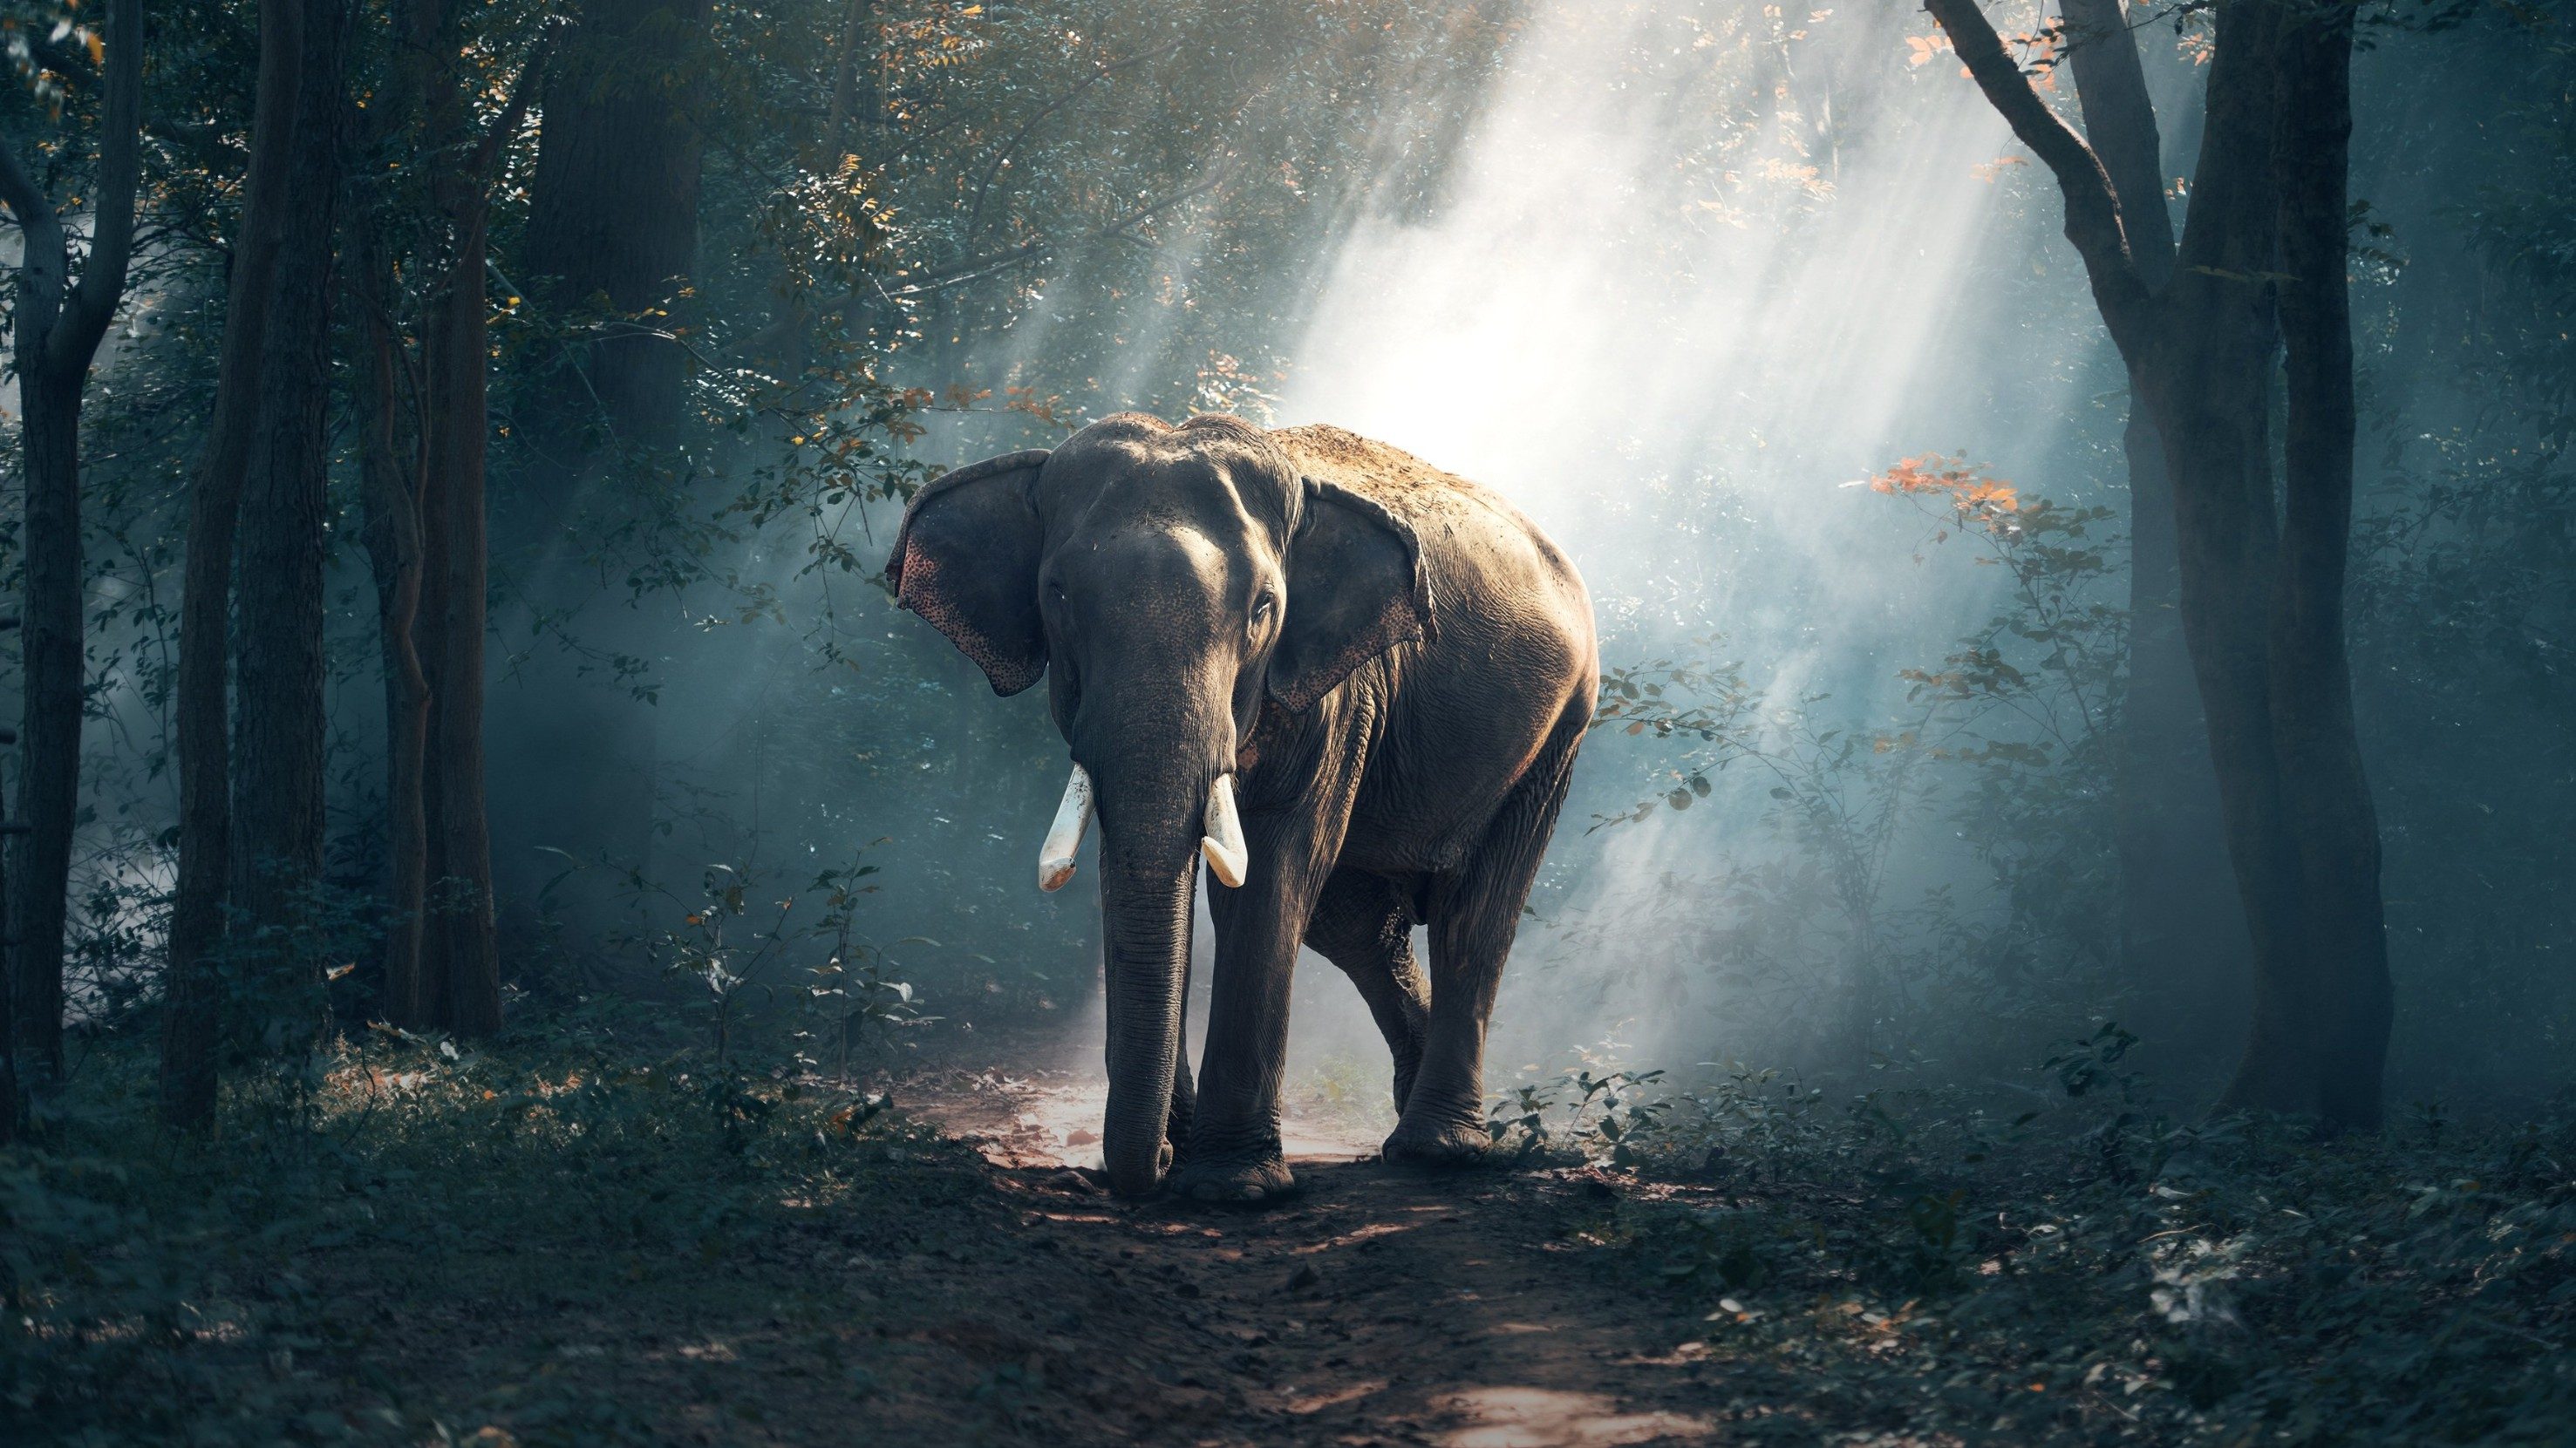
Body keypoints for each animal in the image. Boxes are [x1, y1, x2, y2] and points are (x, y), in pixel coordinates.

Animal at [887, 412, 1596, 1201]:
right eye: (1058, 595)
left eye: (1263, 608)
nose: (1156, 1162)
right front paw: (1186, 1149)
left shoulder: (1338, 693)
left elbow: (1272, 874)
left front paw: (1233, 1187)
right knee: (1358, 926)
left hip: (1559, 732)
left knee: (1474, 916)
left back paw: (1437, 1150)